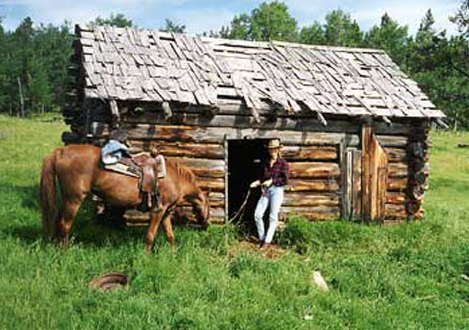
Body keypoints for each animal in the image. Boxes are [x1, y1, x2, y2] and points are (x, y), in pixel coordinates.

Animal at [39, 143, 208, 251]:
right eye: (209, 208)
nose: (206, 226)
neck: (175, 179)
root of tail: (60, 151)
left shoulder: (165, 212)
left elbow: (170, 236)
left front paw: (173, 254)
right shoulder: (158, 211)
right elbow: (150, 236)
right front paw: (146, 257)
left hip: (67, 199)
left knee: (57, 222)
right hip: (74, 200)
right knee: (64, 225)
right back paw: (65, 252)